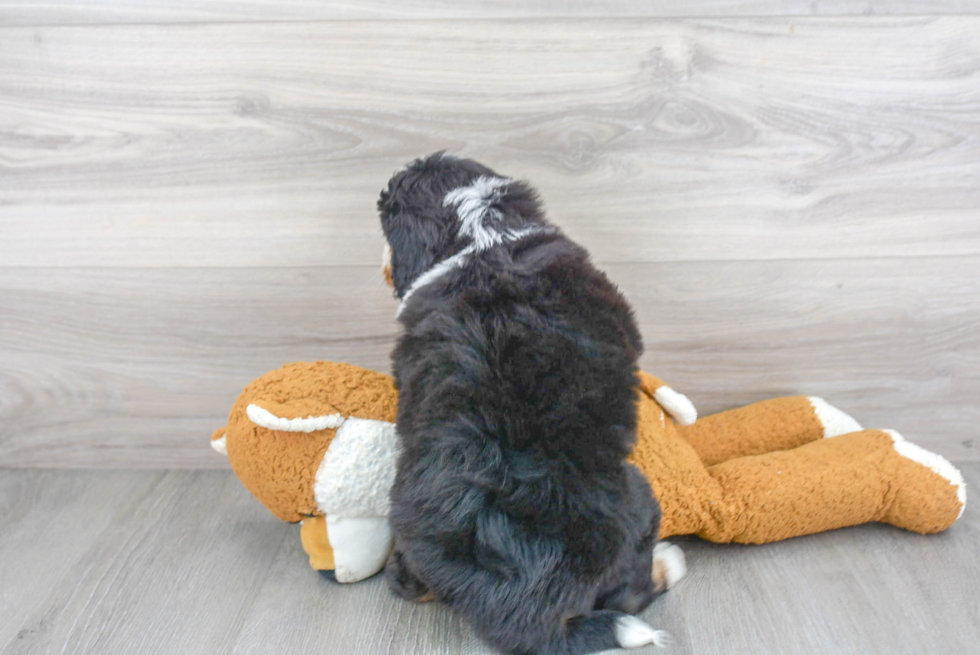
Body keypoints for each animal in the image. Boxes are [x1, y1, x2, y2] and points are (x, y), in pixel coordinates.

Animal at [378, 152, 684, 655]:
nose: (383, 267)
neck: (480, 232)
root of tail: (524, 606)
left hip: (410, 526)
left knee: (408, 583)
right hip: (642, 496)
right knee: (633, 594)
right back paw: (671, 561)